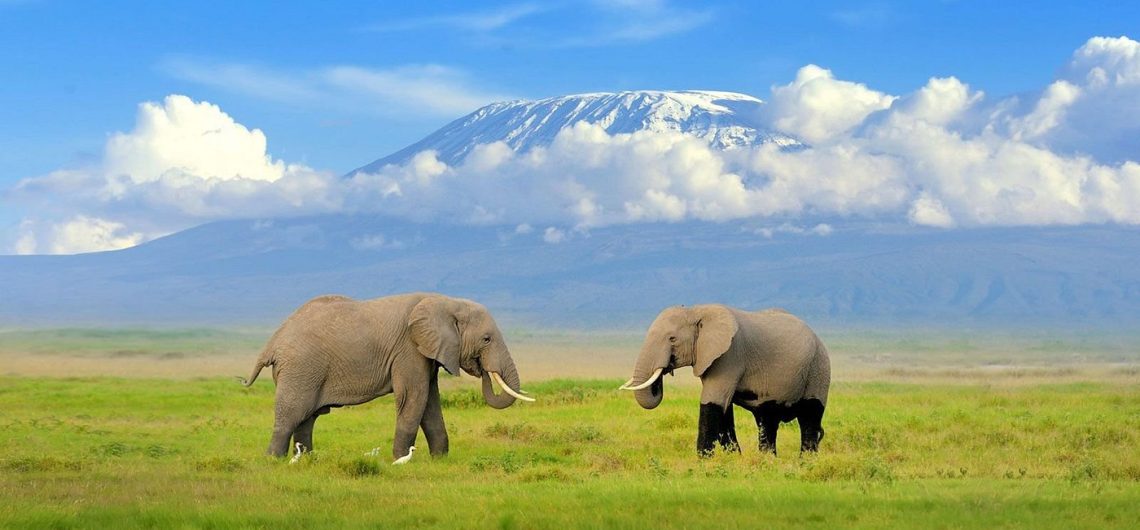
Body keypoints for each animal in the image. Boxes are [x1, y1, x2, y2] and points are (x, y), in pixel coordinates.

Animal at [241, 291, 533, 455]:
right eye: (486, 339)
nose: (483, 368)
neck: (446, 302)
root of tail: (272, 342)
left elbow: (430, 402)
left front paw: (439, 460)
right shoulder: (408, 350)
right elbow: (414, 398)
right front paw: (401, 460)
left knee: (307, 418)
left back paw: (307, 460)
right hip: (301, 369)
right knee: (292, 414)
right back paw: (275, 460)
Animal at [620, 303, 834, 455]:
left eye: (672, 339)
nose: (665, 370)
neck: (696, 310)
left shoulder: (729, 356)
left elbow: (712, 403)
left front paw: (704, 462)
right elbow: (724, 408)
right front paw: (733, 458)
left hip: (819, 368)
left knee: (810, 416)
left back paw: (805, 462)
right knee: (768, 420)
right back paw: (768, 461)